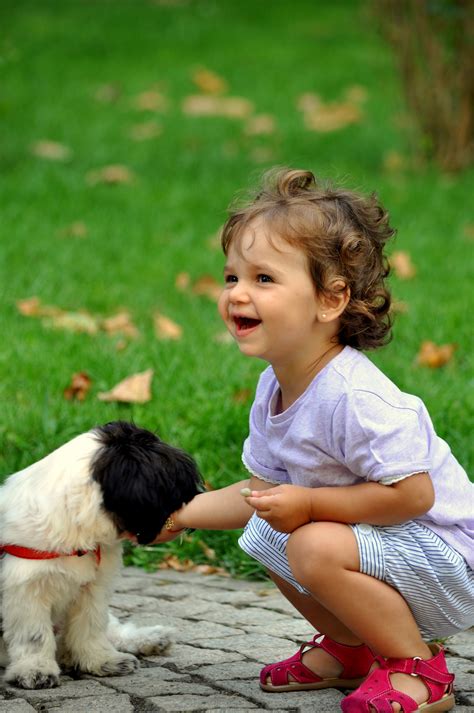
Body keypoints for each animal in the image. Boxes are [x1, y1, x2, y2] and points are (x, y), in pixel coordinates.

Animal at [0, 420, 202, 688]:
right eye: (176, 486)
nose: (198, 499)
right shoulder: (26, 588)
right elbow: (34, 634)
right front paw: (35, 670)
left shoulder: (93, 588)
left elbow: (90, 627)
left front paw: (100, 660)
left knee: (113, 630)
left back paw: (149, 639)